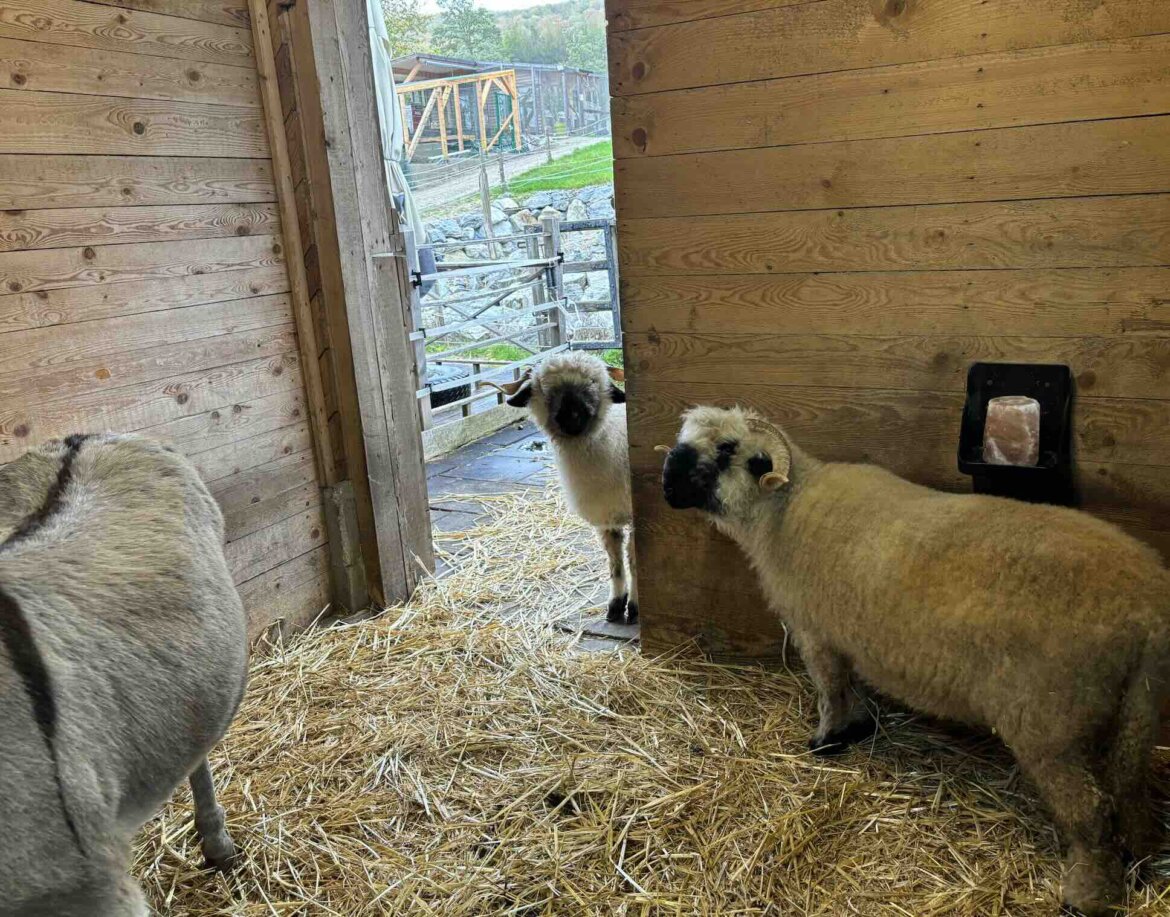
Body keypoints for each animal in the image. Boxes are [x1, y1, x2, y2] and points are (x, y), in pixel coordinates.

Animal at [479, 350, 641, 622]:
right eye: (545, 387)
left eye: (594, 382)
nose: (572, 416)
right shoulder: (607, 516)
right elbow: (615, 561)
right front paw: (616, 604)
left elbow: (635, 561)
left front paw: (637, 607)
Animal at [659, 409, 1170, 916]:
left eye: (726, 449)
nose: (666, 480)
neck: (786, 509)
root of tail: (1148, 611)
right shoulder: (845, 633)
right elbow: (849, 684)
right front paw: (858, 726)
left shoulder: (815, 631)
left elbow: (830, 687)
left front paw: (827, 740)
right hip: (1134, 709)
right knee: (1129, 790)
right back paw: (1138, 860)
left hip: (1050, 722)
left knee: (1091, 812)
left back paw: (1086, 895)